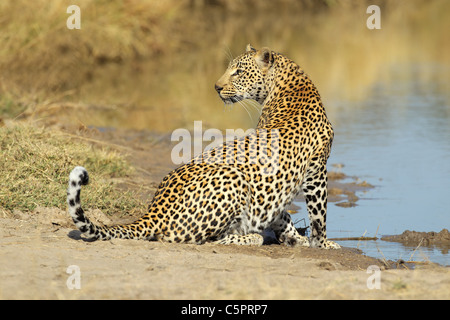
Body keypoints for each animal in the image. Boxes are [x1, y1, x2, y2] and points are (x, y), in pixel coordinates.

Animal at [66, 44, 342, 250]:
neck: (288, 86)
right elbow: (319, 214)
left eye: (238, 72)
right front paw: (323, 244)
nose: (216, 87)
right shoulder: (317, 171)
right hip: (234, 178)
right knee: (201, 238)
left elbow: (282, 212)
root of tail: (154, 211)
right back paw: (251, 237)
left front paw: (296, 237)